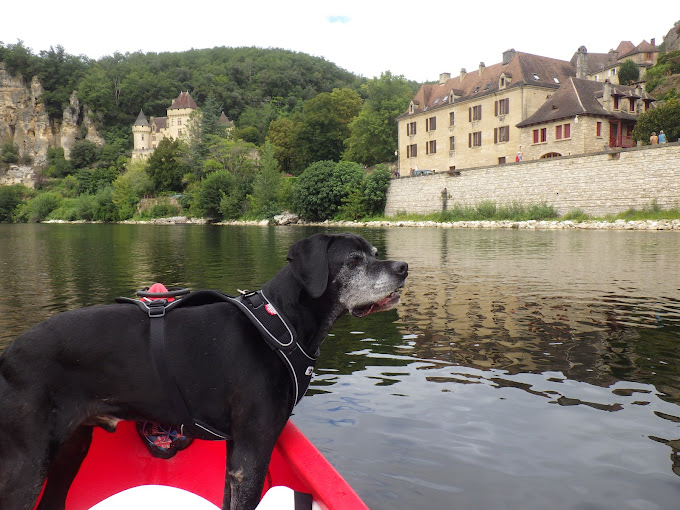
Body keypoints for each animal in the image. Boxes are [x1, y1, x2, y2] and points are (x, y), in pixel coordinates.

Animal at [0, 233, 404, 510]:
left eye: (374, 254)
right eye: (353, 260)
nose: (402, 269)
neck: (281, 324)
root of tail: (6, 357)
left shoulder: (237, 453)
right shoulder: (253, 450)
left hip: (68, 452)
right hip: (26, 467)